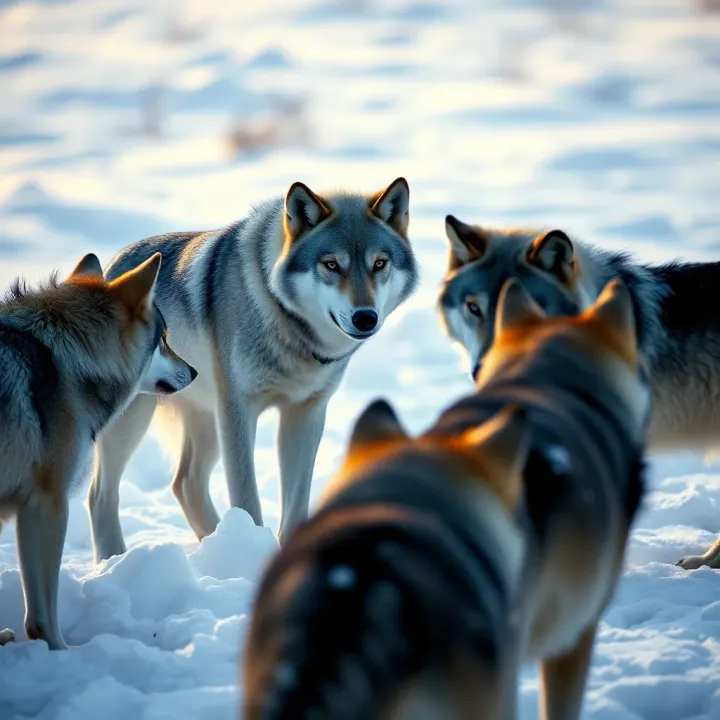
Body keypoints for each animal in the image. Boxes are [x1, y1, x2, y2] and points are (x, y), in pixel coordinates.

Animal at [0, 252, 195, 650]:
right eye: (164, 339)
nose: (195, 371)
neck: (71, 360)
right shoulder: (47, 502)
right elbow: (42, 614)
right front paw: (59, 652)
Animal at [88, 178, 418, 564]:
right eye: (331, 264)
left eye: (379, 263)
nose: (365, 317)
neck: (291, 329)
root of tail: (113, 266)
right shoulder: (238, 408)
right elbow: (246, 498)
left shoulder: (306, 411)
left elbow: (296, 504)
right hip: (136, 419)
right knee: (100, 494)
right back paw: (113, 560)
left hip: (207, 421)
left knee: (185, 483)